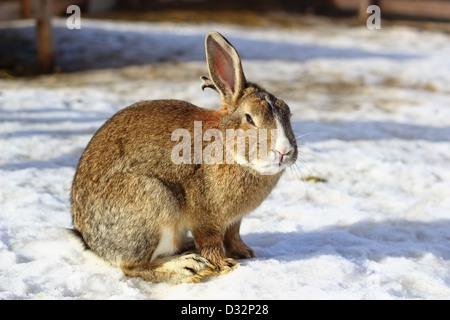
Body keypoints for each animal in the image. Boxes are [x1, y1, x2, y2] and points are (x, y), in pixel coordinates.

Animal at [70, 31, 298, 284]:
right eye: (249, 118)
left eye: (289, 114)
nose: (284, 151)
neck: (228, 147)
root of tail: (92, 242)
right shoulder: (206, 217)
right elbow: (211, 243)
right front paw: (225, 265)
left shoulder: (233, 221)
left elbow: (233, 235)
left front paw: (245, 252)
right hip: (151, 201)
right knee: (133, 266)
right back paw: (188, 266)